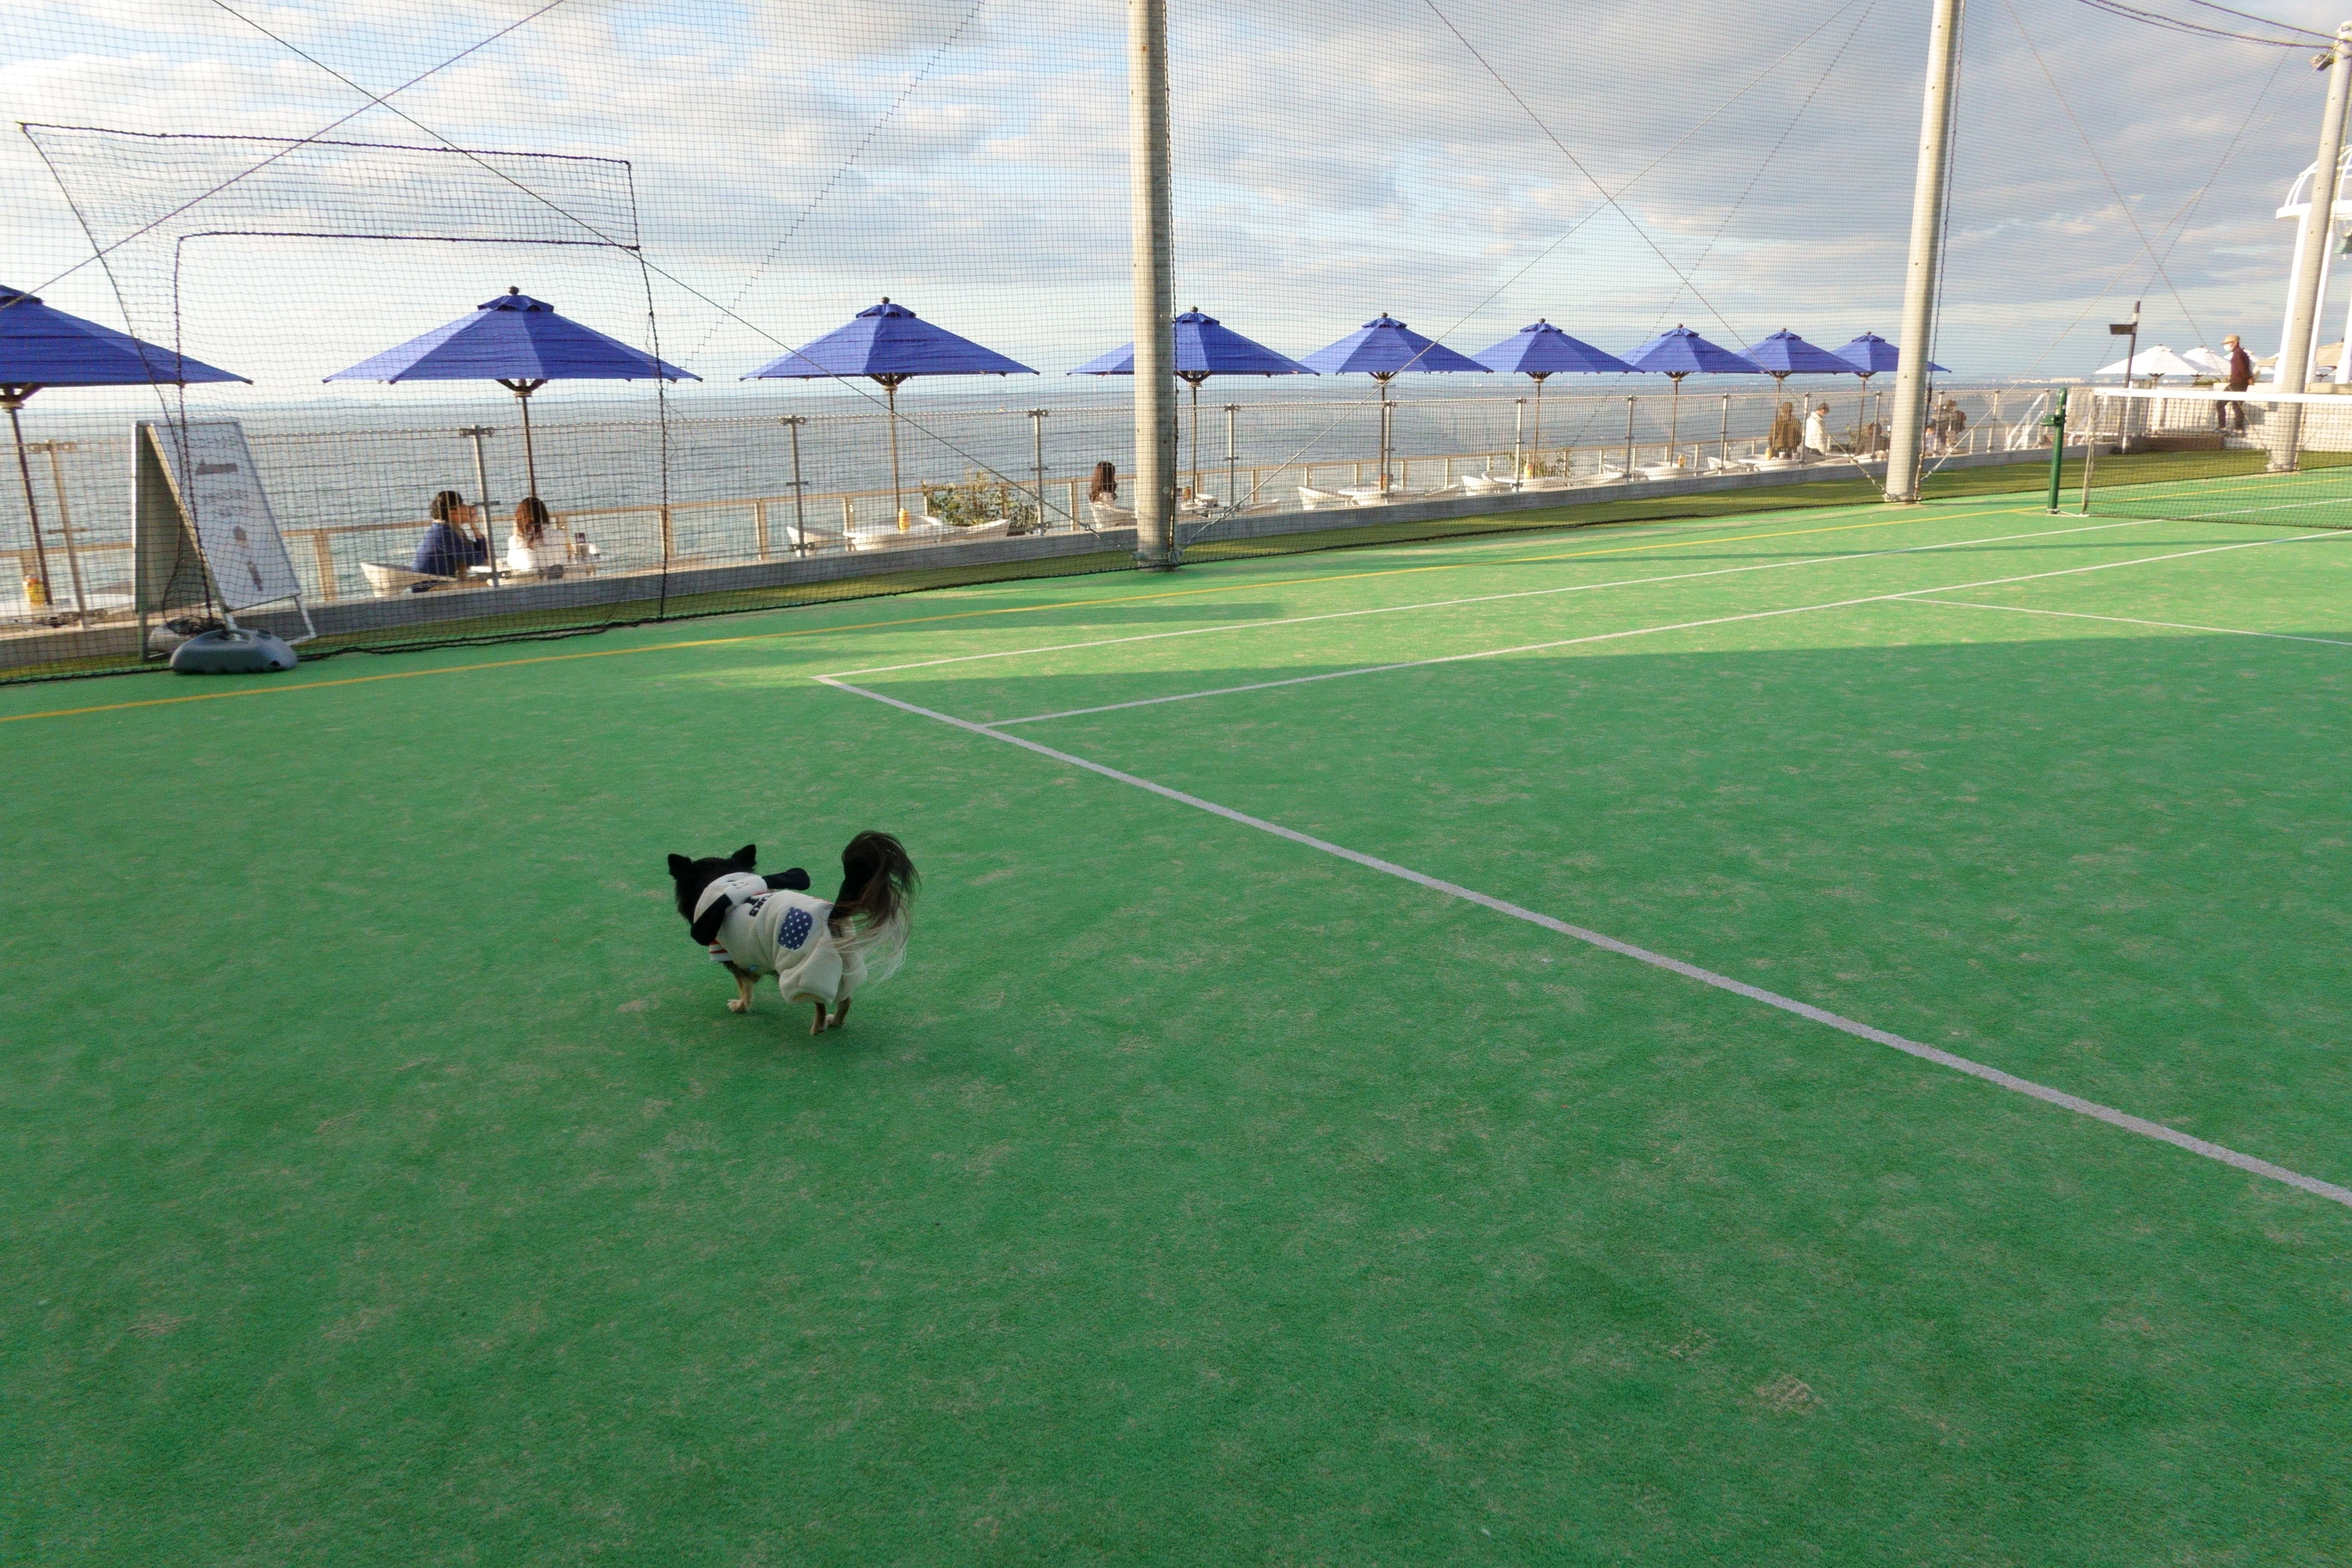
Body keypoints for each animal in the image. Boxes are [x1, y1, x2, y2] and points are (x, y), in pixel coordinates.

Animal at [672, 827, 917, 1034]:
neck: (726, 883)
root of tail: (831, 915)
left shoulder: (734, 958)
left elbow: (745, 988)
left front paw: (741, 1006)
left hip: (804, 971)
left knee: (819, 1003)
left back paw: (817, 1027)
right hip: (846, 966)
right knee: (846, 999)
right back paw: (835, 1021)